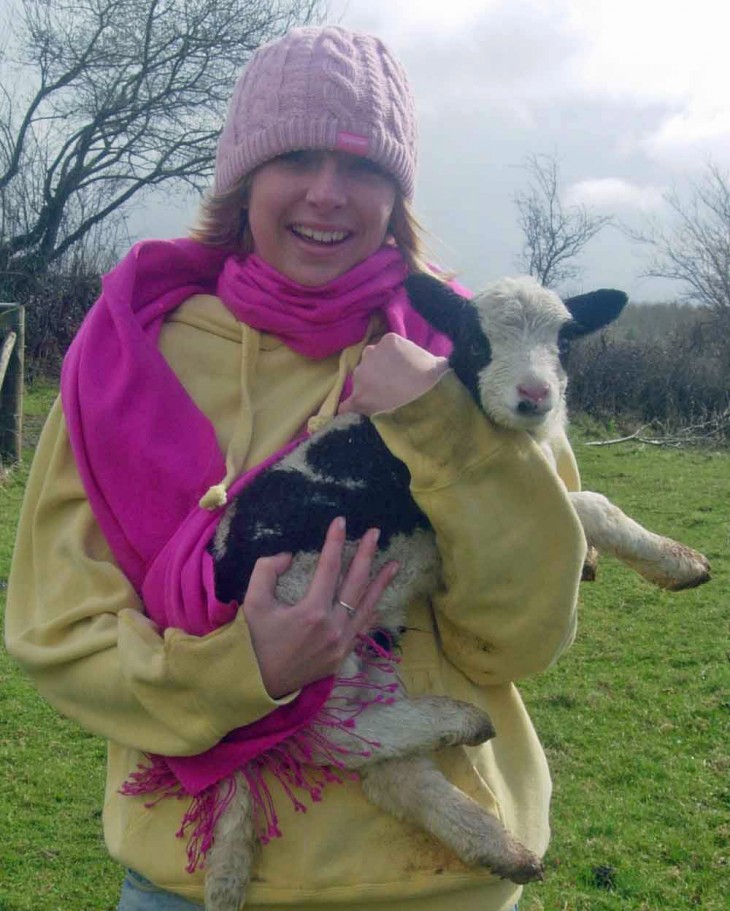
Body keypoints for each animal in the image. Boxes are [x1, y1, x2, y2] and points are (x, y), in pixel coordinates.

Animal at [202, 272, 708, 911]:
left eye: (565, 342)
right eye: (475, 341)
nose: (534, 395)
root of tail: (220, 575)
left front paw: (600, 559)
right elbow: (591, 504)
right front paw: (678, 562)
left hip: (373, 627)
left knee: (385, 770)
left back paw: (495, 843)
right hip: (307, 618)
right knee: (323, 736)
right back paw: (459, 721)